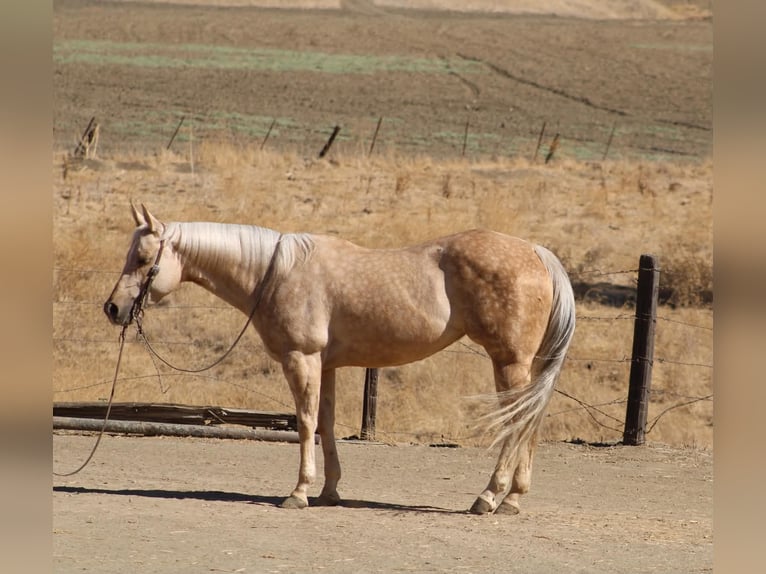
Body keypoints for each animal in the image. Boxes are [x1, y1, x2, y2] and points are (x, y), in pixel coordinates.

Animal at [104, 204, 575, 515]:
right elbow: (326, 425)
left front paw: (298, 493)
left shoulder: (302, 360)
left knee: (517, 425)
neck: (276, 273)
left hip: (509, 361)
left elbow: (305, 423)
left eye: (143, 258)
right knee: (530, 423)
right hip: (521, 365)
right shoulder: (326, 366)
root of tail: (536, 251)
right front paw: (329, 492)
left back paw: (489, 496)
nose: (113, 308)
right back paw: (513, 498)